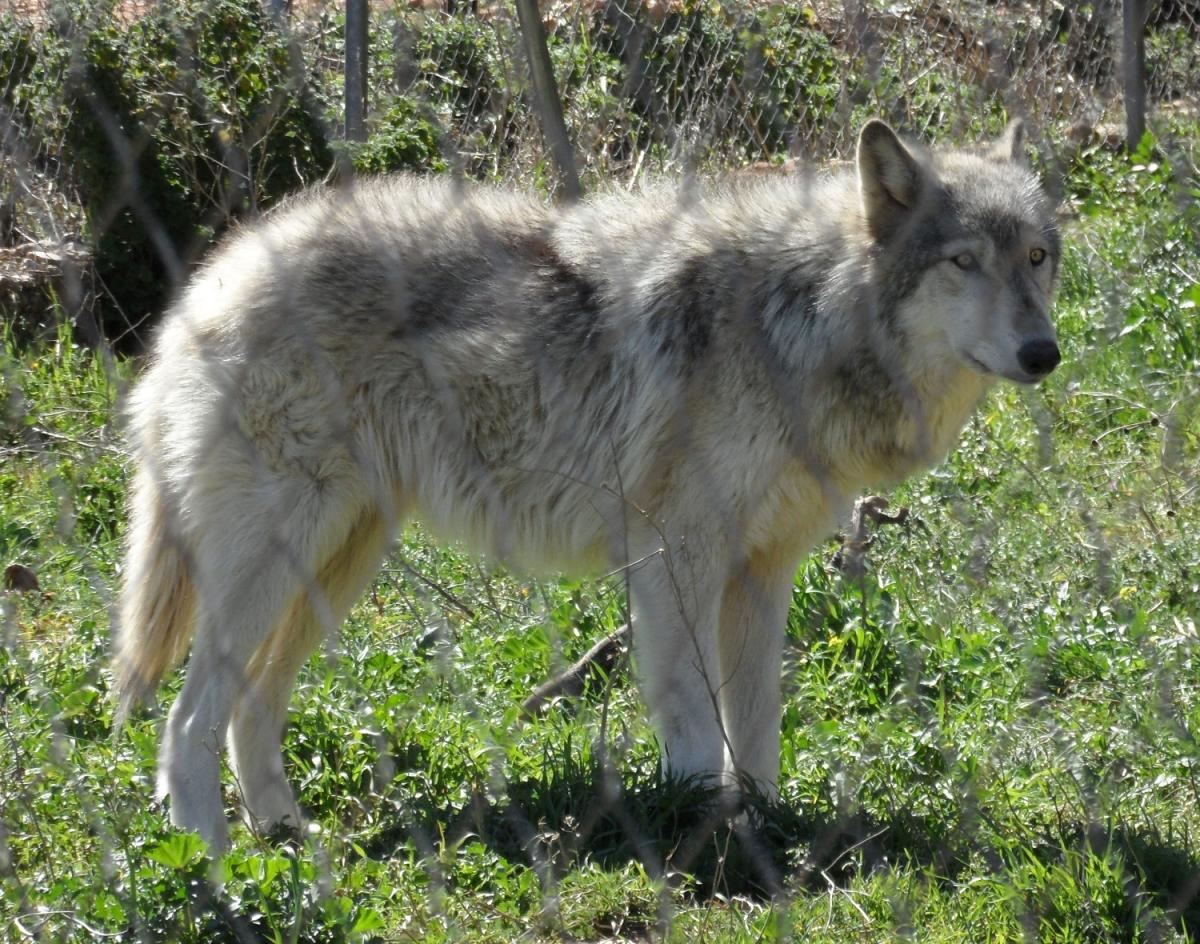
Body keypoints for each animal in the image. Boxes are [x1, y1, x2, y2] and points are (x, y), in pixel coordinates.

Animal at [113, 119, 1061, 849]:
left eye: (1038, 258)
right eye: (964, 262)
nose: (1043, 353)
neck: (807, 318)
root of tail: (214, 277)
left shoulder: (764, 570)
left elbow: (757, 725)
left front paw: (763, 826)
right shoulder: (678, 556)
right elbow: (694, 722)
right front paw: (704, 829)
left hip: (338, 566)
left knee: (250, 710)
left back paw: (286, 837)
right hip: (279, 561)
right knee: (186, 719)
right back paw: (216, 861)